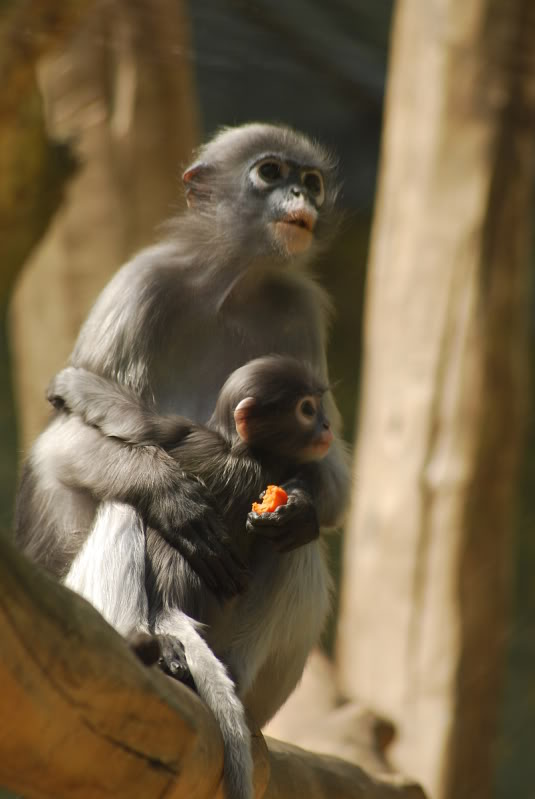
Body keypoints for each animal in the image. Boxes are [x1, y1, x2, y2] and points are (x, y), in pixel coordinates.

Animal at [15, 123, 350, 603]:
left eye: (312, 182)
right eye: (270, 171)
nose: (300, 195)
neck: (235, 284)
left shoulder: (299, 307)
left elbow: (330, 464)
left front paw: (301, 505)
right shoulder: (140, 285)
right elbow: (61, 437)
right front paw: (168, 492)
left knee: (298, 545)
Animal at [52, 355, 334, 799]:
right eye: (308, 409)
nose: (326, 426)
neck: (242, 449)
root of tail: (169, 605)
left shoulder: (186, 433)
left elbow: (133, 420)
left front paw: (71, 383)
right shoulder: (204, 439)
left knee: (122, 506)